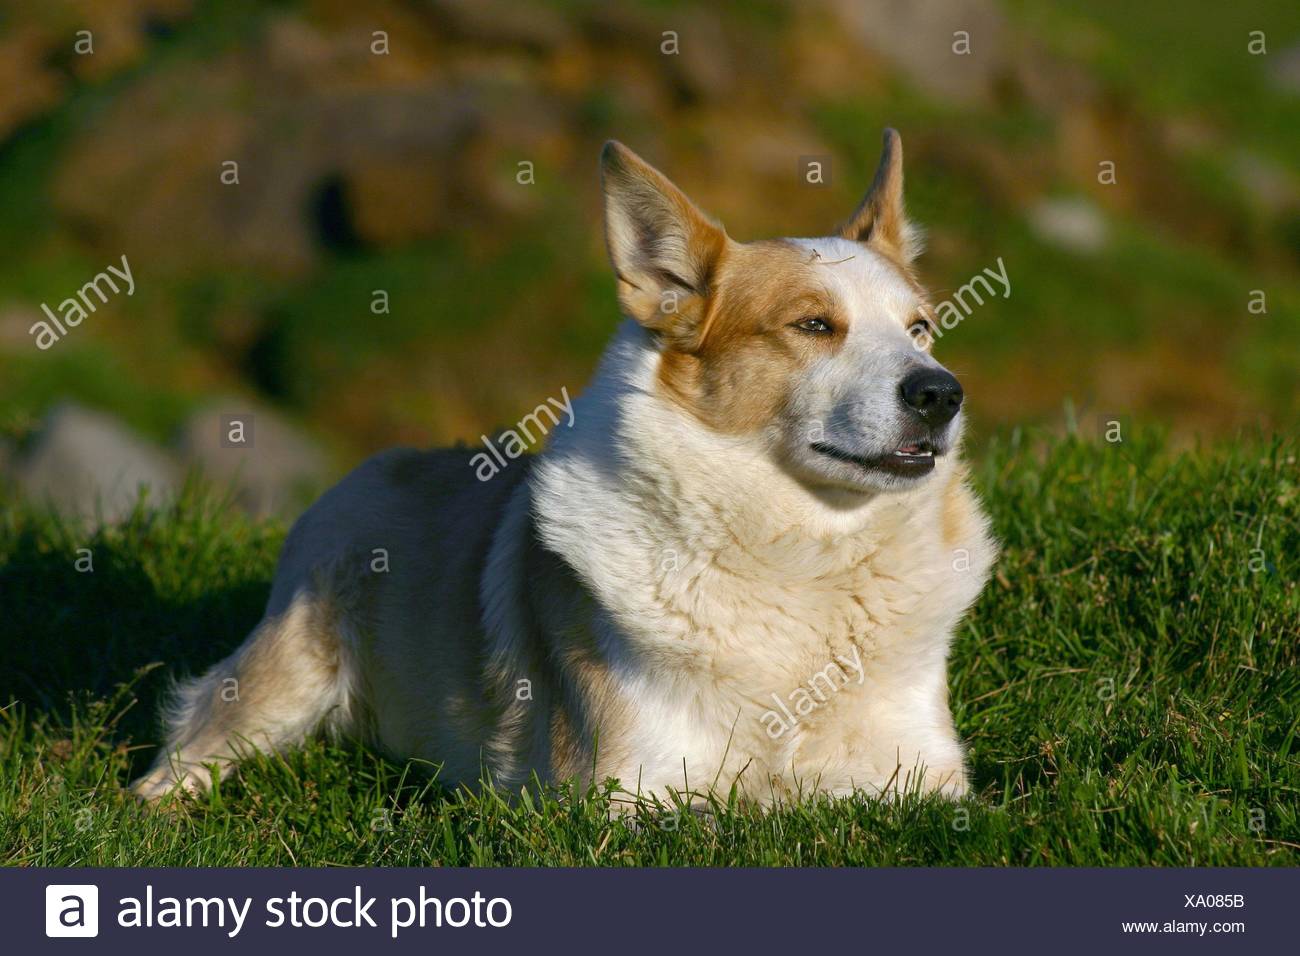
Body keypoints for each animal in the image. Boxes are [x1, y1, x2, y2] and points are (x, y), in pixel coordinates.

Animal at [134, 130, 993, 806]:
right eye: (813, 325)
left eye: (921, 328)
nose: (940, 393)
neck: (805, 557)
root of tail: (380, 464)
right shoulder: (624, 795)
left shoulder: (928, 781)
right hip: (281, 682)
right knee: (179, 759)